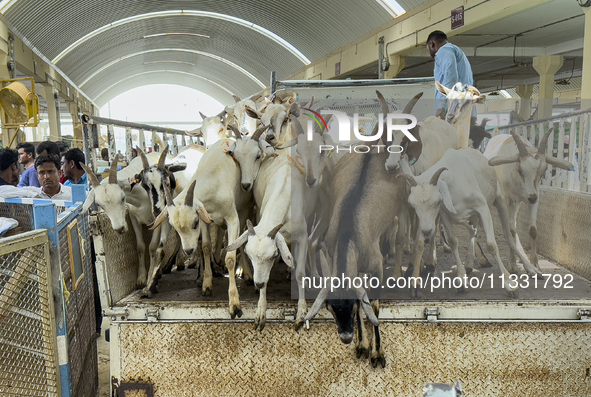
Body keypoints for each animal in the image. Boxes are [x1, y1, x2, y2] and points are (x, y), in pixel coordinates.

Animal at [486, 130, 572, 272]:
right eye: (520, 170)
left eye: (543, 170)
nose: (531, 197)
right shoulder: (507, 200)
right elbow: (510, 231)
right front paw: (512, 264)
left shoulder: (535, 197)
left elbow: (532, 230)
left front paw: (535, 264)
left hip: (518, 203)